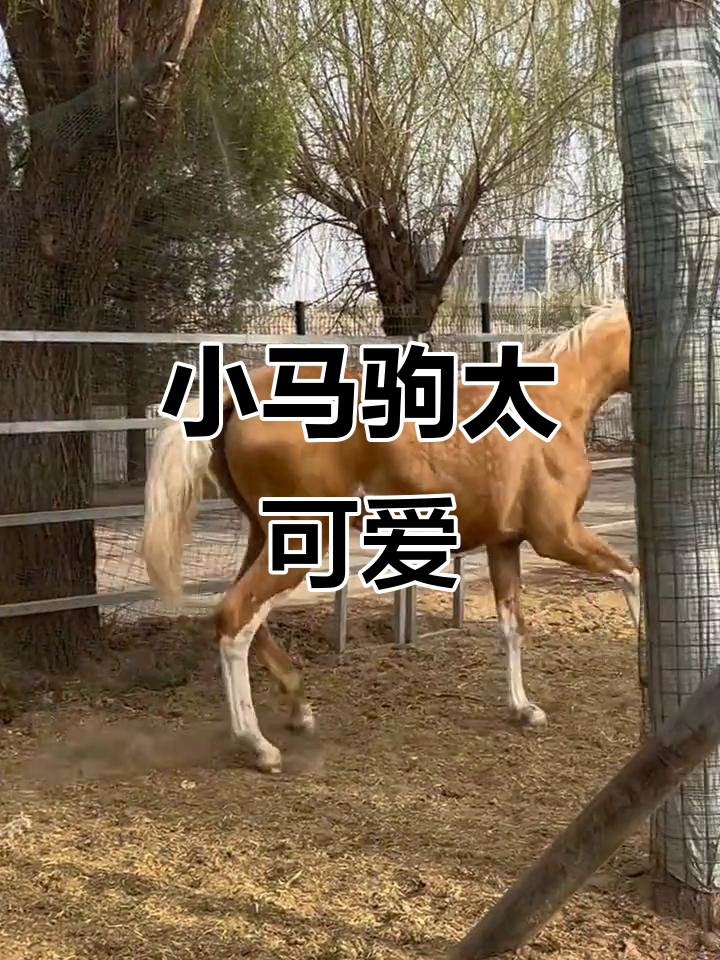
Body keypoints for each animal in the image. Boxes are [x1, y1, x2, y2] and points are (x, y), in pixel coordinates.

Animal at [141, 301, 640, 774]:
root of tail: (233, 396)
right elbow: (631, 576)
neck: (555, 403)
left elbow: (512, 627)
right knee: (236, 619)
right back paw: (261, 747)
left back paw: (299, 711)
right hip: (305, 538)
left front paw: (523, 709)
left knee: (239, 613)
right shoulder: (557, 536)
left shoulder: (504, 544)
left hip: (269, 536)